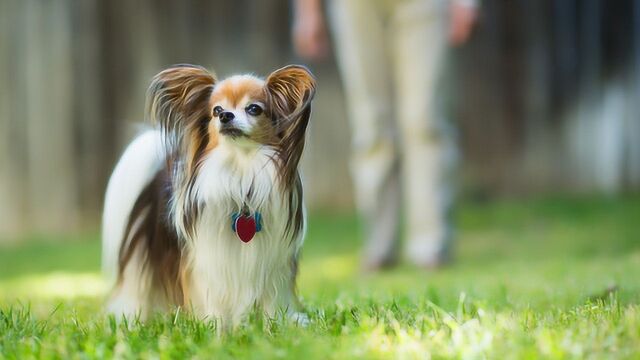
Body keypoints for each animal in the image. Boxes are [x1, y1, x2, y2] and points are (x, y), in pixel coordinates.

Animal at [100, 64, 318, 330]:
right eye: (217, 110)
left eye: (254, 109)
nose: (226, 116)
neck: (241, 173)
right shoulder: (207, 260)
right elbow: (213, 298)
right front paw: (216, 328)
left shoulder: (272, 263)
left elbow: (271, 301)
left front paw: (273, 326)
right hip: (140, 259)